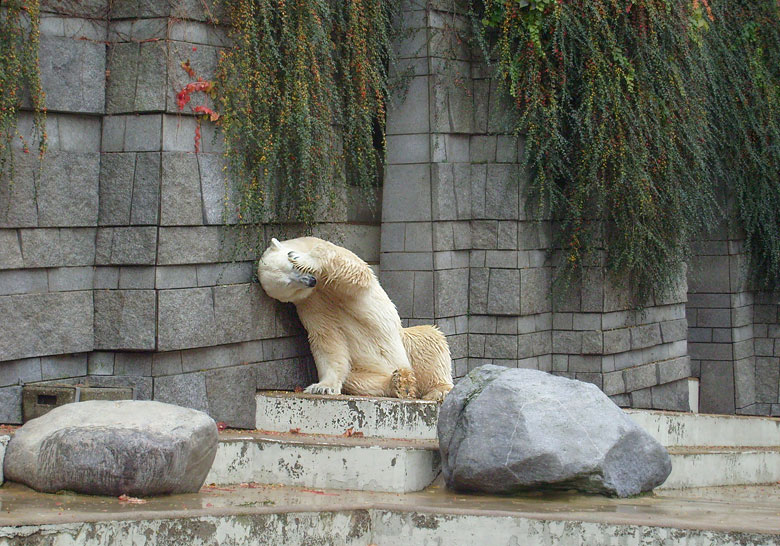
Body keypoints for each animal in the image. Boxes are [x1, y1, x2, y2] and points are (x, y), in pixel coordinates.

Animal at [258, 235, 450, 400]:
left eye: (293, 267)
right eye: (288, 284)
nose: (311, 281)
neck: (320, 286)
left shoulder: (329, 257)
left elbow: (355, 270)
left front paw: (301, 258)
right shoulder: (310, 303)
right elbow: (328, 338)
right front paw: (322, 387)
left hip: (406, 343)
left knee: (429, 340)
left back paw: (438, 390)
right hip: (361, 368)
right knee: (355, 380)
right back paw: (399, 383)